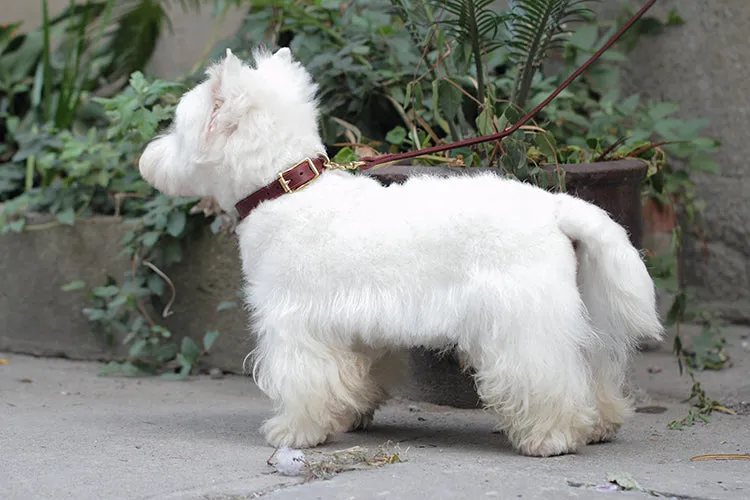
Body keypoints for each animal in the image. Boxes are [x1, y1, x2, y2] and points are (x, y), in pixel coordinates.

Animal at [140, 47, 664, 458]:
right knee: (592, 369)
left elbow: (304, 380)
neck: (285, 190)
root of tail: (554, 207)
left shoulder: (293, 322)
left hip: (524, 323)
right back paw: (600, 423)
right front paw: (349, 416)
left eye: (177, 128)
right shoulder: (353, 325)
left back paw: (552, 437)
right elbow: (356, 375)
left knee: (546, 376)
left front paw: (294, 432)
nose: (147, 158)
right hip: (575, 315)